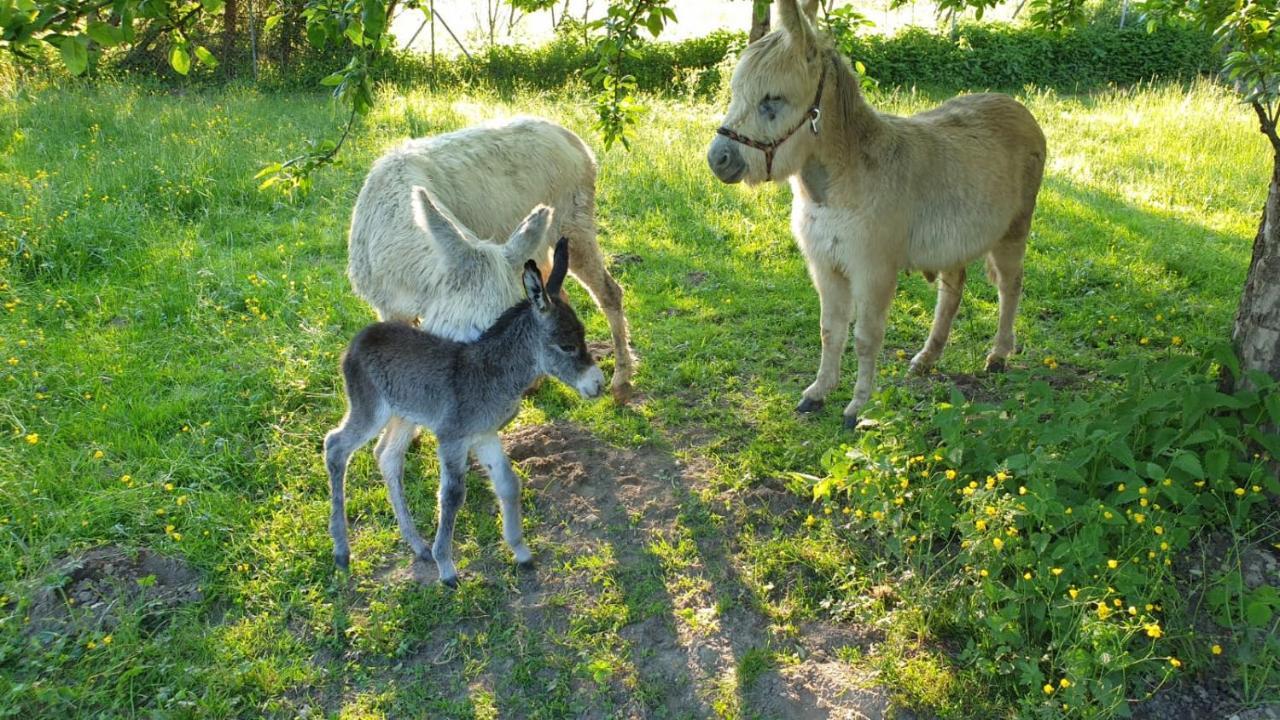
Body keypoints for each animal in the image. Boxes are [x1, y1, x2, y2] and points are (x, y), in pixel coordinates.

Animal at [320, 197, 599, 584]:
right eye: (567, 346)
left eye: (583, 336)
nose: (598, 384)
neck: (493, 372)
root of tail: (358, 340)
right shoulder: (452, 437)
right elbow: (452, 495)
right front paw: (447, 568)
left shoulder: (483, 435)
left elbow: (508, 484)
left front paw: (521, 552)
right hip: (370, 408)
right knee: (336, 446)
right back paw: (342, 551)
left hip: (403, 414)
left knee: (387, 456)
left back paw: (416, 545)